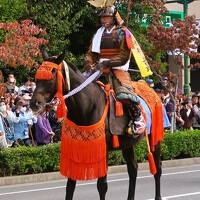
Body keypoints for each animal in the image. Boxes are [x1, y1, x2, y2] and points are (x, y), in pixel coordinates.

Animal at [30, 55, 163, 200]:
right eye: (37, 78)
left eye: (52, 75)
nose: (34, 103)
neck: (87, 106)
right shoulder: (76, 147)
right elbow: (70, 186)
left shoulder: (103, 149)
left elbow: (102, 186)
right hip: (127, 143)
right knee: (133, 169)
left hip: (154, 137)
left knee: (157, 168)